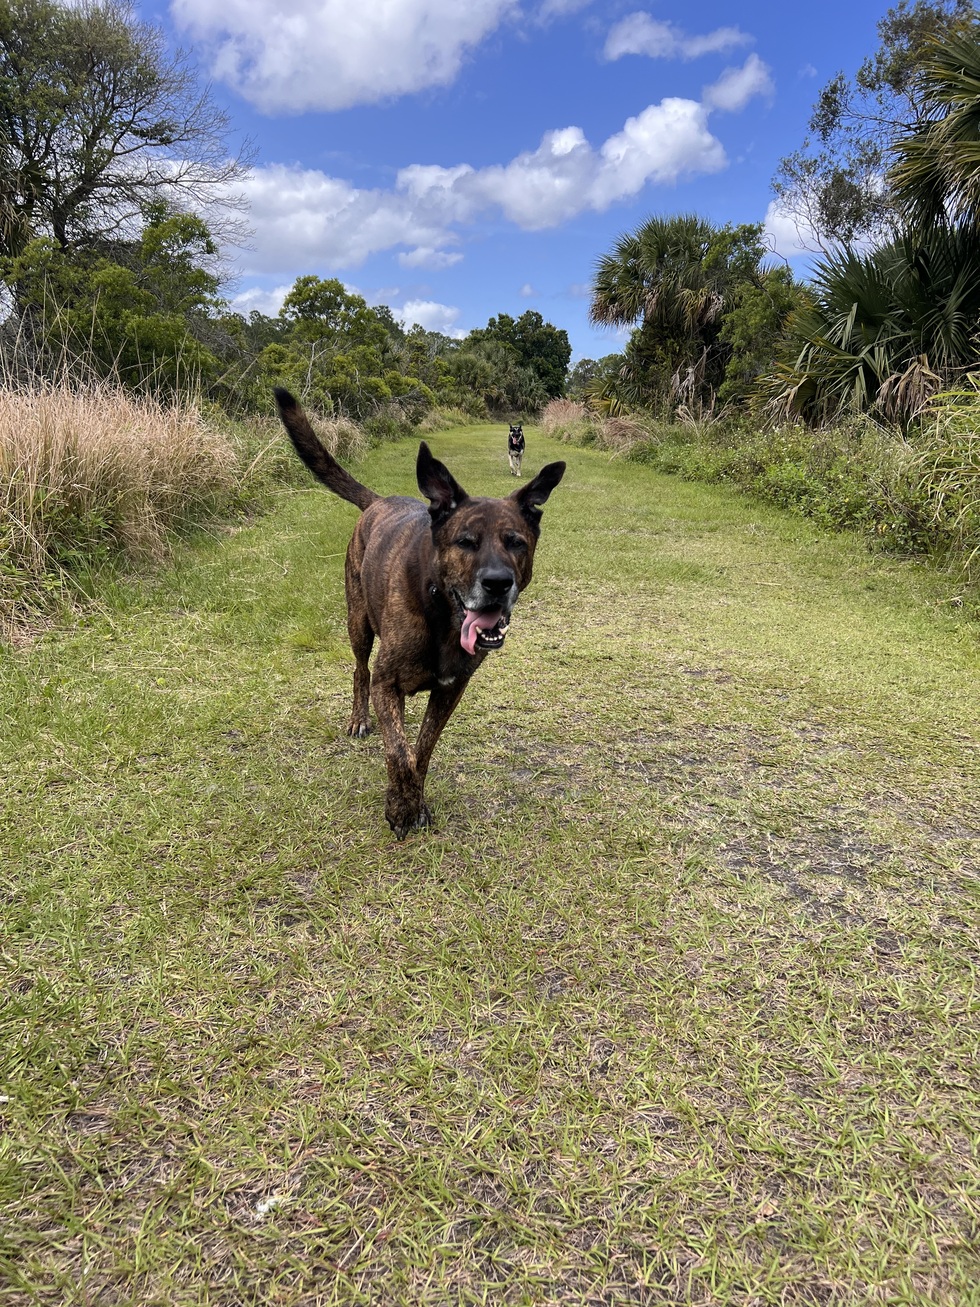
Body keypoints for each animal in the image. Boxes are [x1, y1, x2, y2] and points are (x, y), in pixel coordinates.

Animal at [277, 386, 567, 836]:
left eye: (516, 542)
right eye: (465, 541)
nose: (498, 583)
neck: (442, 614)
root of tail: (379, 501)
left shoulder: (451, 689)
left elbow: (422, 749)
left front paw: (415, 801)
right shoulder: (386, 683)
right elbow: (397, 752)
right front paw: (399, 809)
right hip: (358, 622)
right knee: (359, 670)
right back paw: (360, 718)